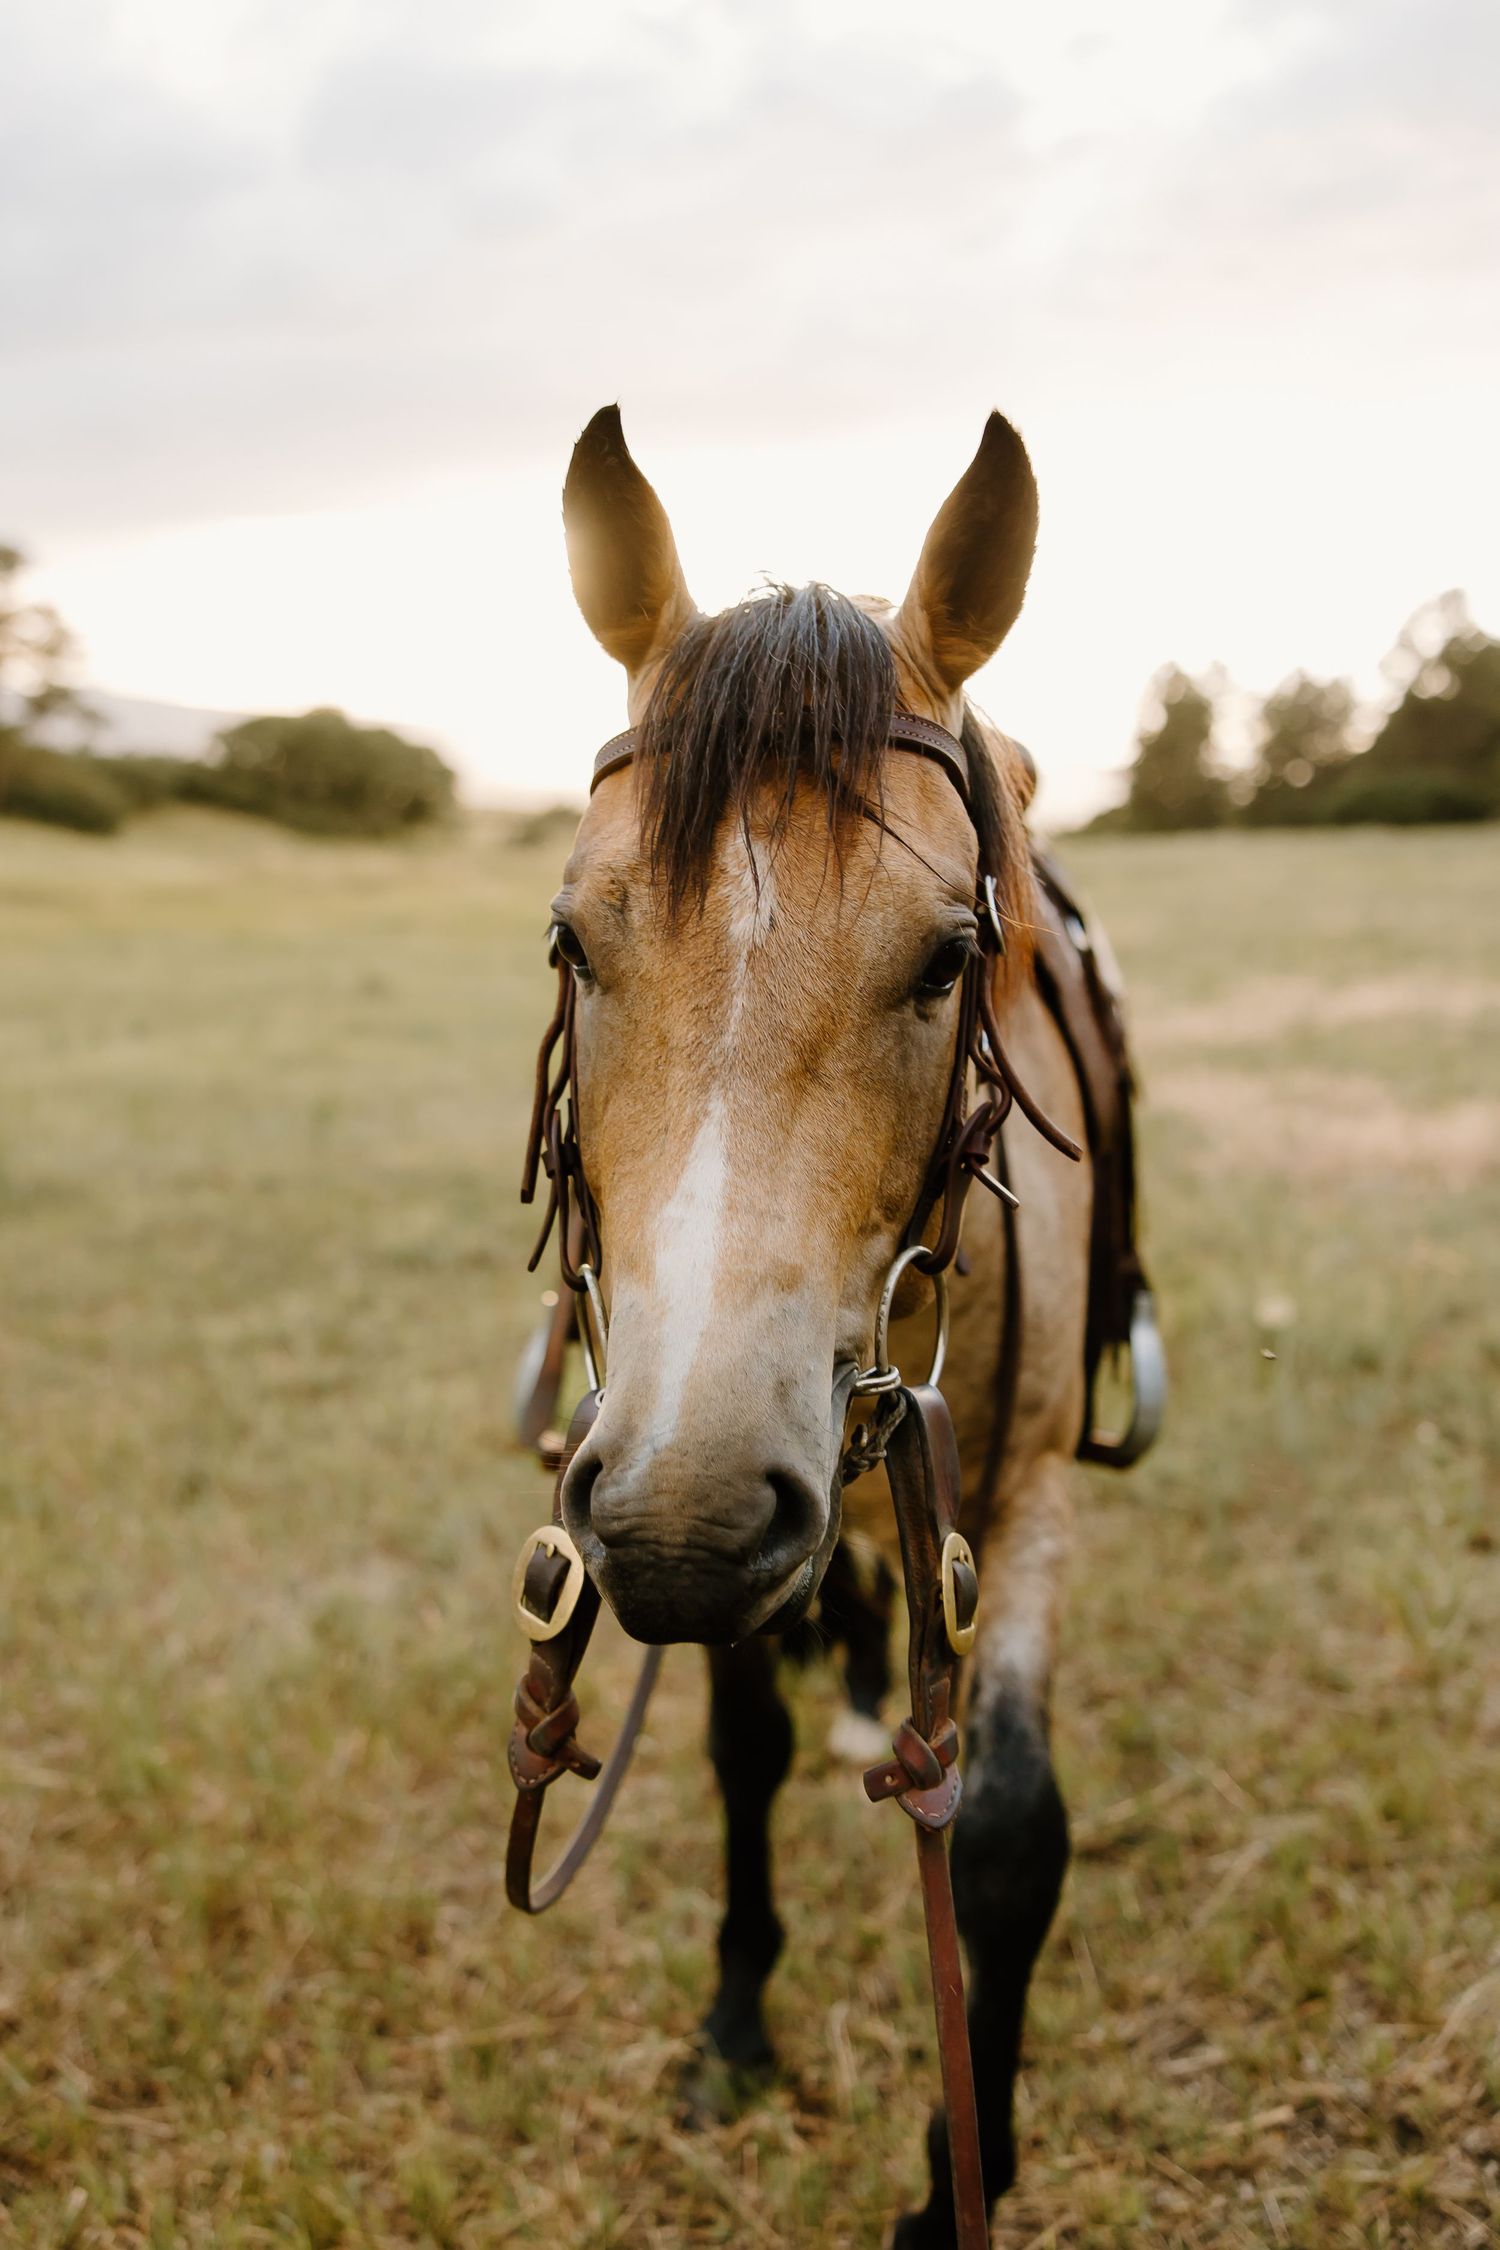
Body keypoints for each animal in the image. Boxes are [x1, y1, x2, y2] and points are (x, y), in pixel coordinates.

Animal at [520, 403, 1116, 2246]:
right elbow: (741, 1745)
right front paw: (734, 2021)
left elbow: (1007, 1832)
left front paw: (956, 2179)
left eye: (946, 957)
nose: (689, 1522)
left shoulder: (1023, 1494)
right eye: (575, 940)